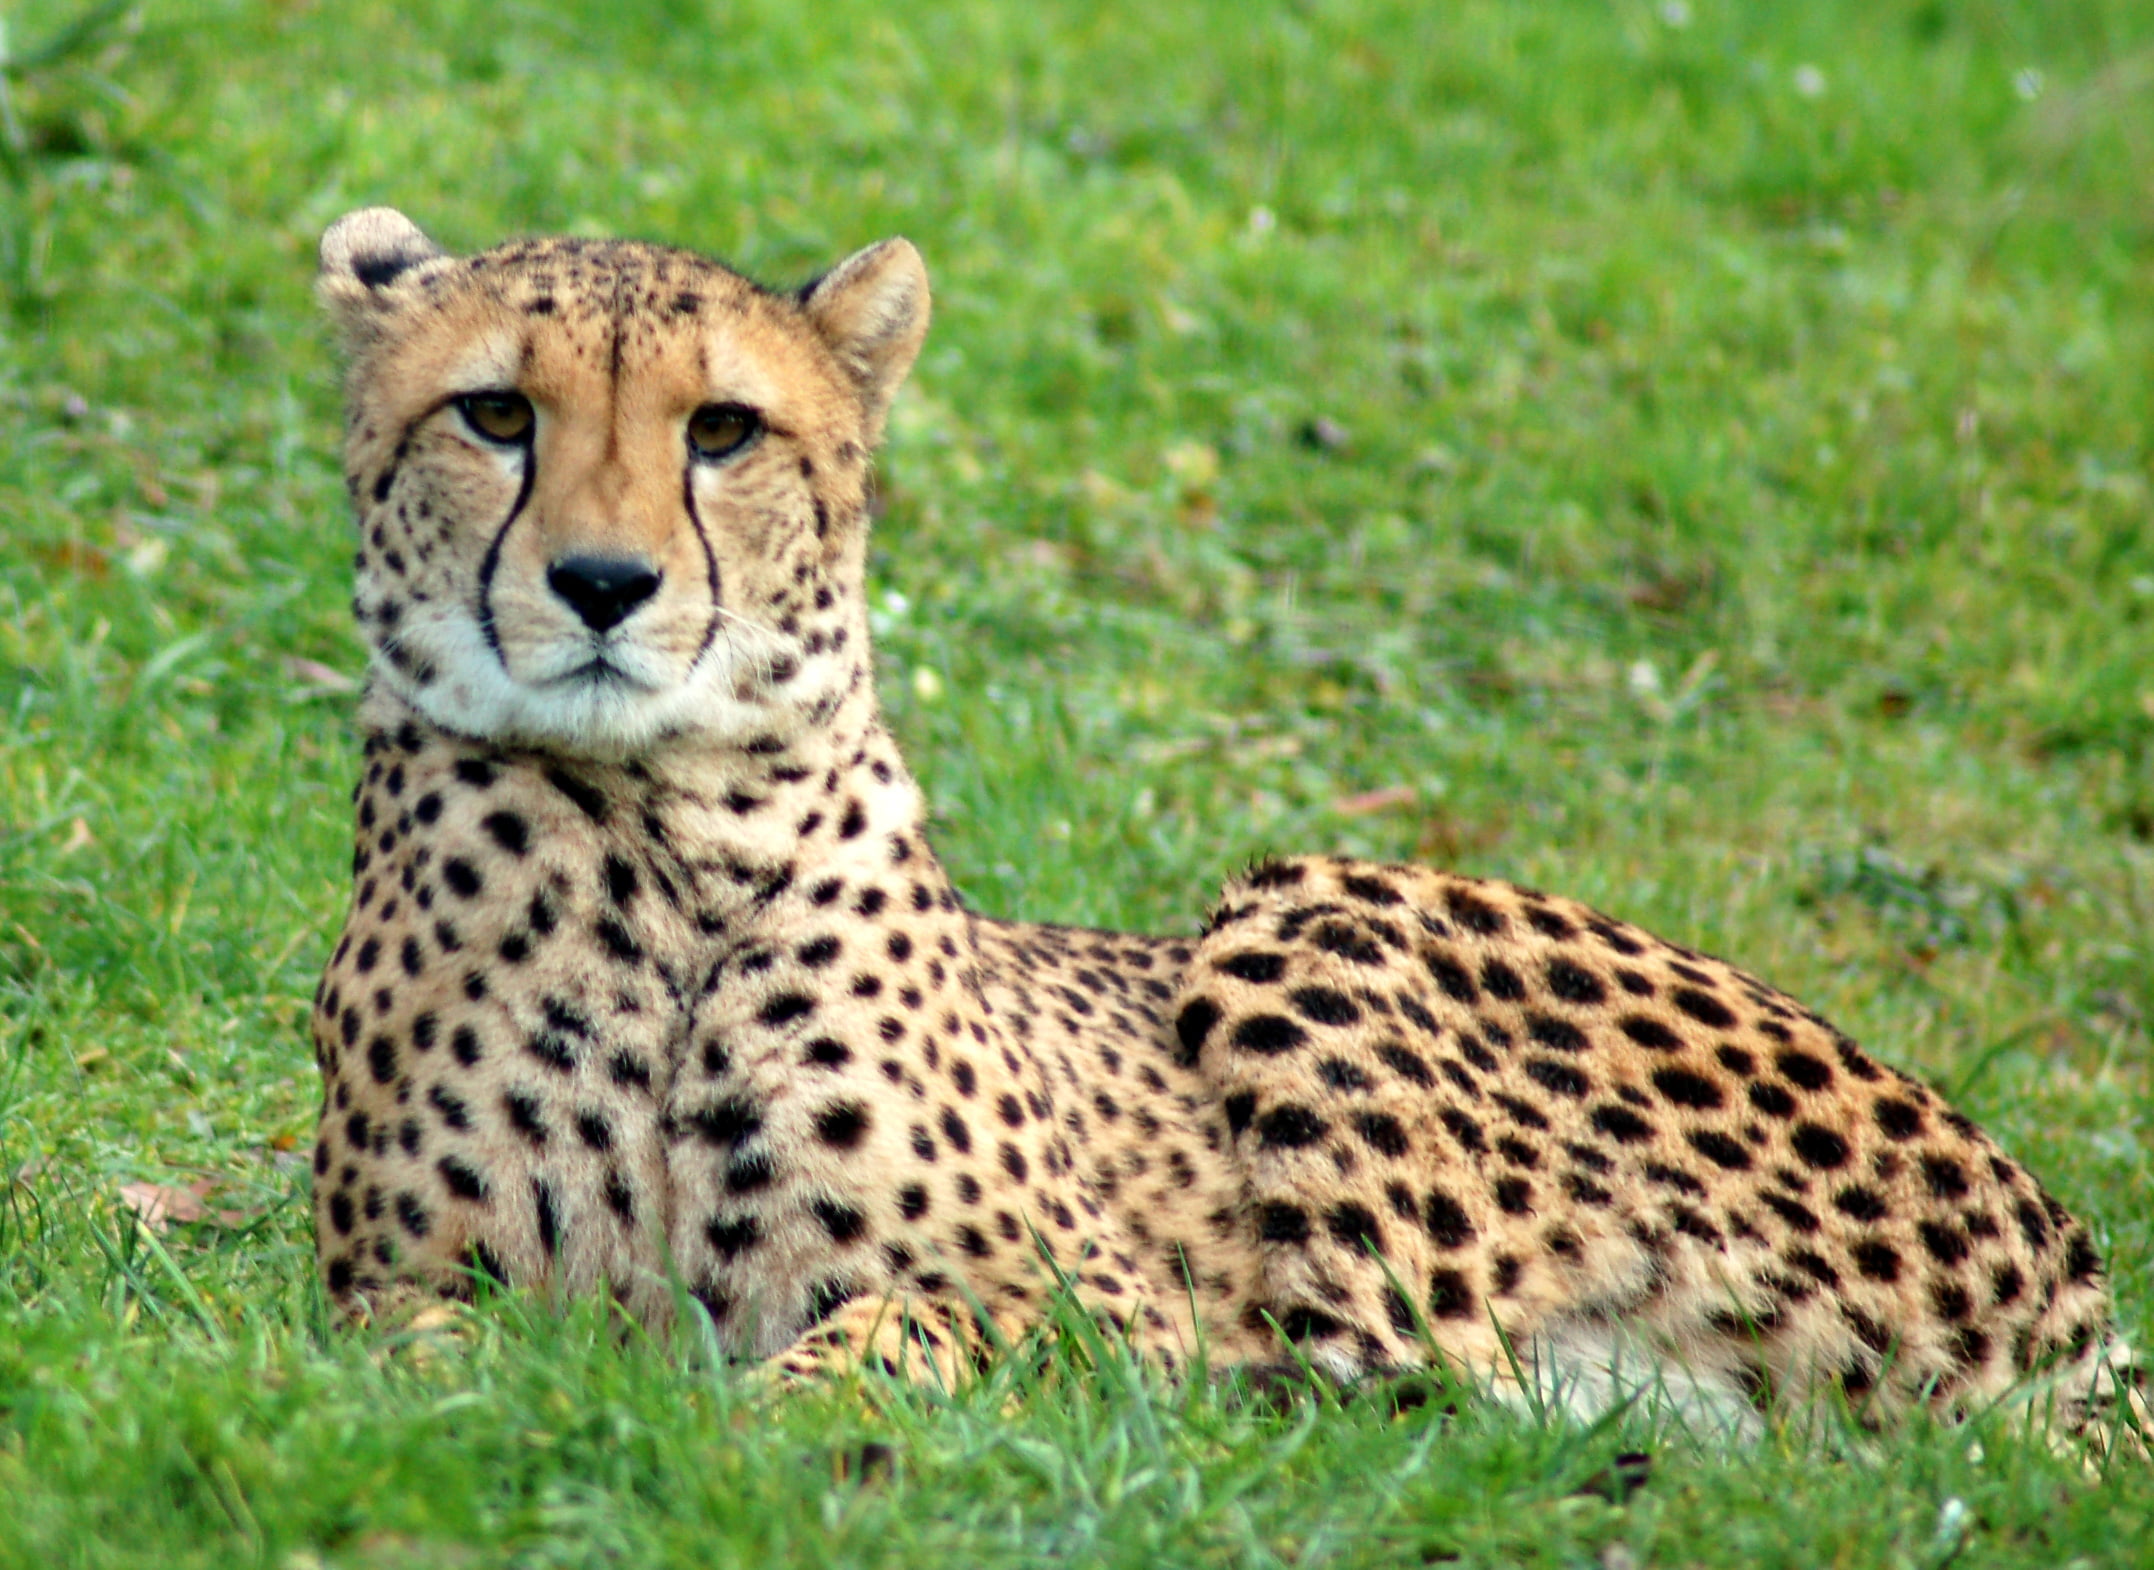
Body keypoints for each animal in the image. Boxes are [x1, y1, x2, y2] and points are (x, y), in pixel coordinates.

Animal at [308, 206, 2143, 1448]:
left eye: (721, 430)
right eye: (494, 415)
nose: (601, 584)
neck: (654, 834)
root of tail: (2074, 1268)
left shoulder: (1106, 1309)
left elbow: (906, 1328)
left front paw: (779, 1417)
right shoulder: (386, 1298)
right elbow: (427, 1370)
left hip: (1307, 909)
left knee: (1411, 1386)